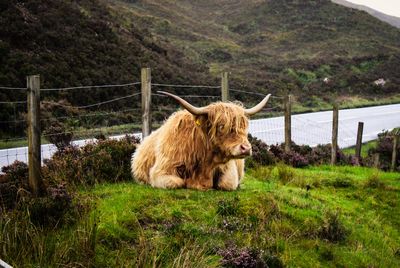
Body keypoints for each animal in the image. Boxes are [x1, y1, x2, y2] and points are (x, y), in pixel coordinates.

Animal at [130, 92, 270, 191]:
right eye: (221, 126)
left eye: (243, 126)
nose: (246, 148)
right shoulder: (160, 171)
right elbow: (177, 182)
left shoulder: (229, 169)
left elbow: (227, 184)